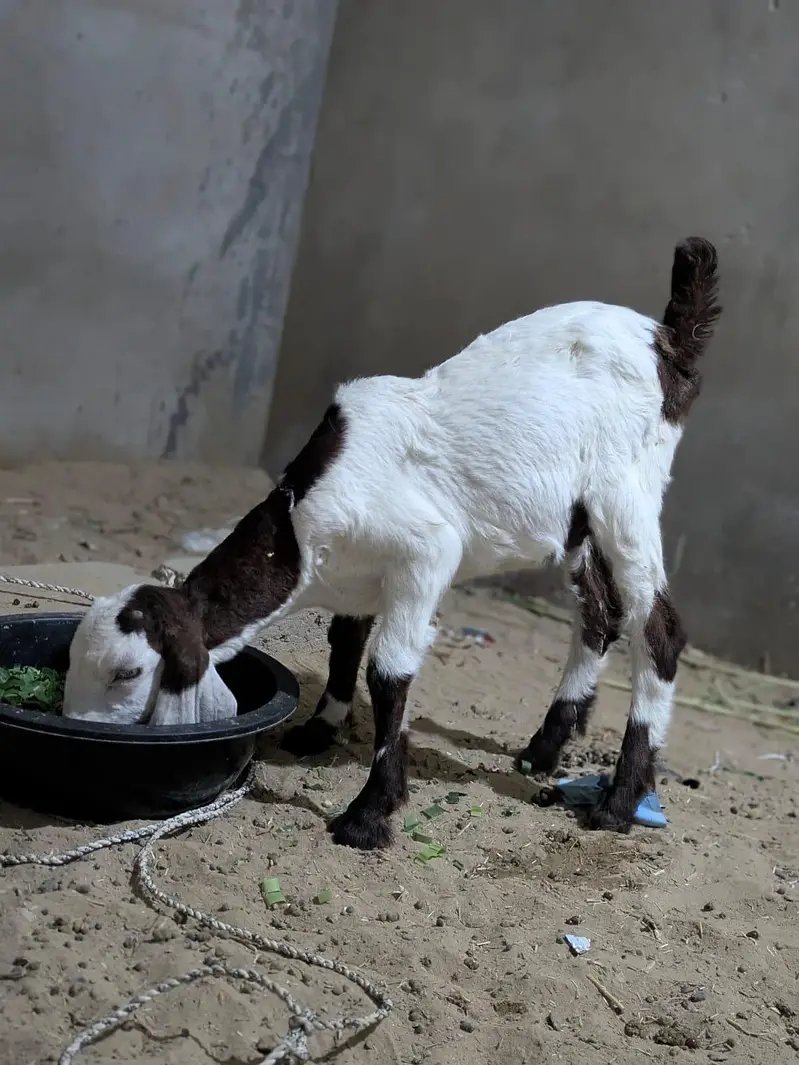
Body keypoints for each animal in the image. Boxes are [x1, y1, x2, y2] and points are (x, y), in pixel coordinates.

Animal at [63, 237, 720, 850]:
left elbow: (388, 670)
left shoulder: (425, 553)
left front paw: (369, 813)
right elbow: (343, 644)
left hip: (626, 491)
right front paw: (319, 730)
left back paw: (618, 803)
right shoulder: (358, 575)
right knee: (599, 617)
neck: (301, 532)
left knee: (657, 629)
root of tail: (667, 338)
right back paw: (543, 752)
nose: (79, 723)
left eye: (126, 672)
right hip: (578, 522)